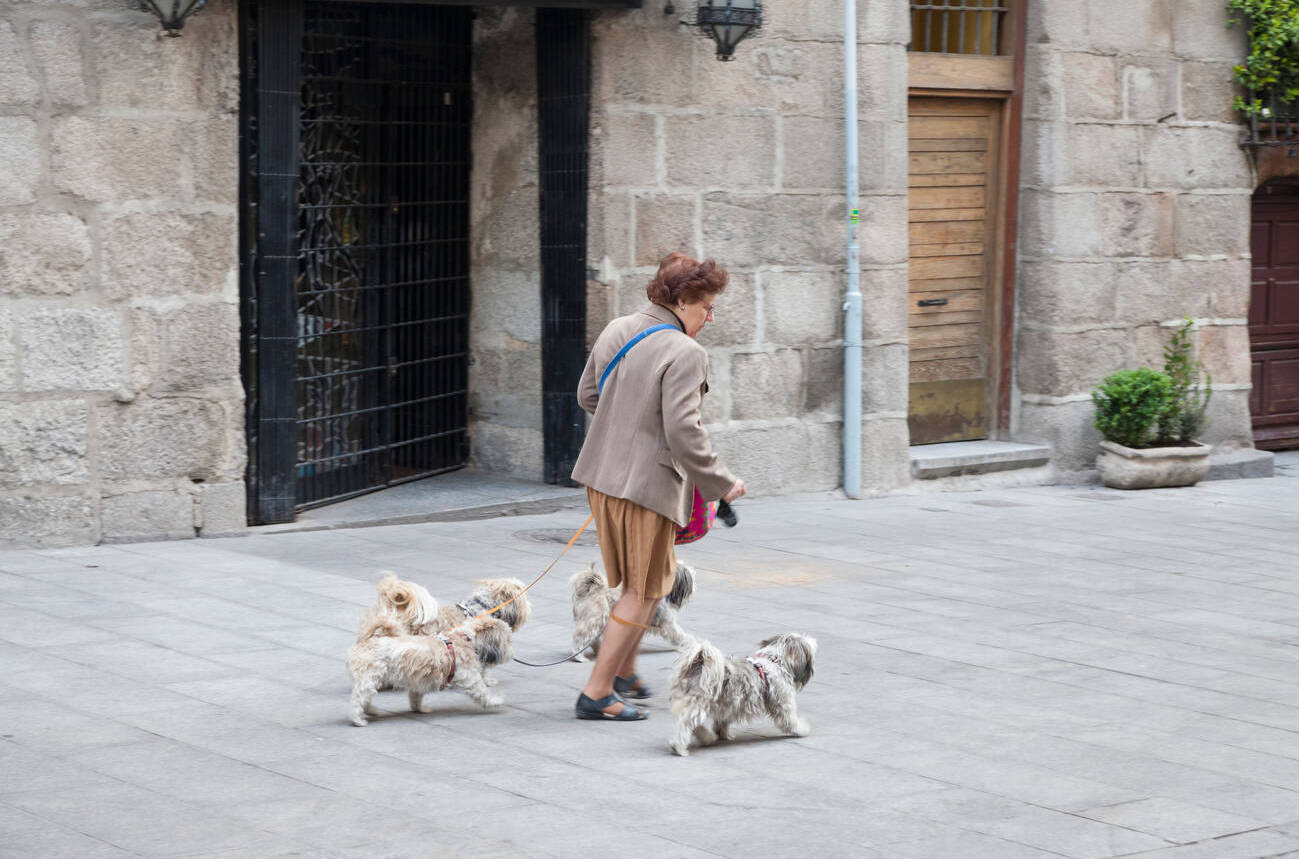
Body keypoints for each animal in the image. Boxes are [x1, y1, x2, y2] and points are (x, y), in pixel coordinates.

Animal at [348, 610, 514, 722]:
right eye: (507, 640)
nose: (512, 652)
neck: (466, 639)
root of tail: (367, 641)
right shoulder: (469, 678)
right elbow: (482, 692)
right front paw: (495, 701)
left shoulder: (417, 683)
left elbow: (415, 698)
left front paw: (419, 709)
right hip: (368, 680)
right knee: (358, 699)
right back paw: (358, 719)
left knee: (366, 699)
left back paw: (371, 711)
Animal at [566, 558, 696, 660]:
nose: (693, 590)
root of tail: (592, 587)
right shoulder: (667, 624)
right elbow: (680, 636)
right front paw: (690, 644)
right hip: (594, 620)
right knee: (579, 638)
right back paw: (579, 656)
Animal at [670, 628, 810, 758]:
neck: (774, 661)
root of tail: (698, 663)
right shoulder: (782, 703)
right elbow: (790, 721)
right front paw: (802, 729)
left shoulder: (727, 706)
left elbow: (721, 722)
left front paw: (722, 734)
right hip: (699, 704)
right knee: (685, 724)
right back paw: (679, 747)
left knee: (692, 725)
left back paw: (707, 738)